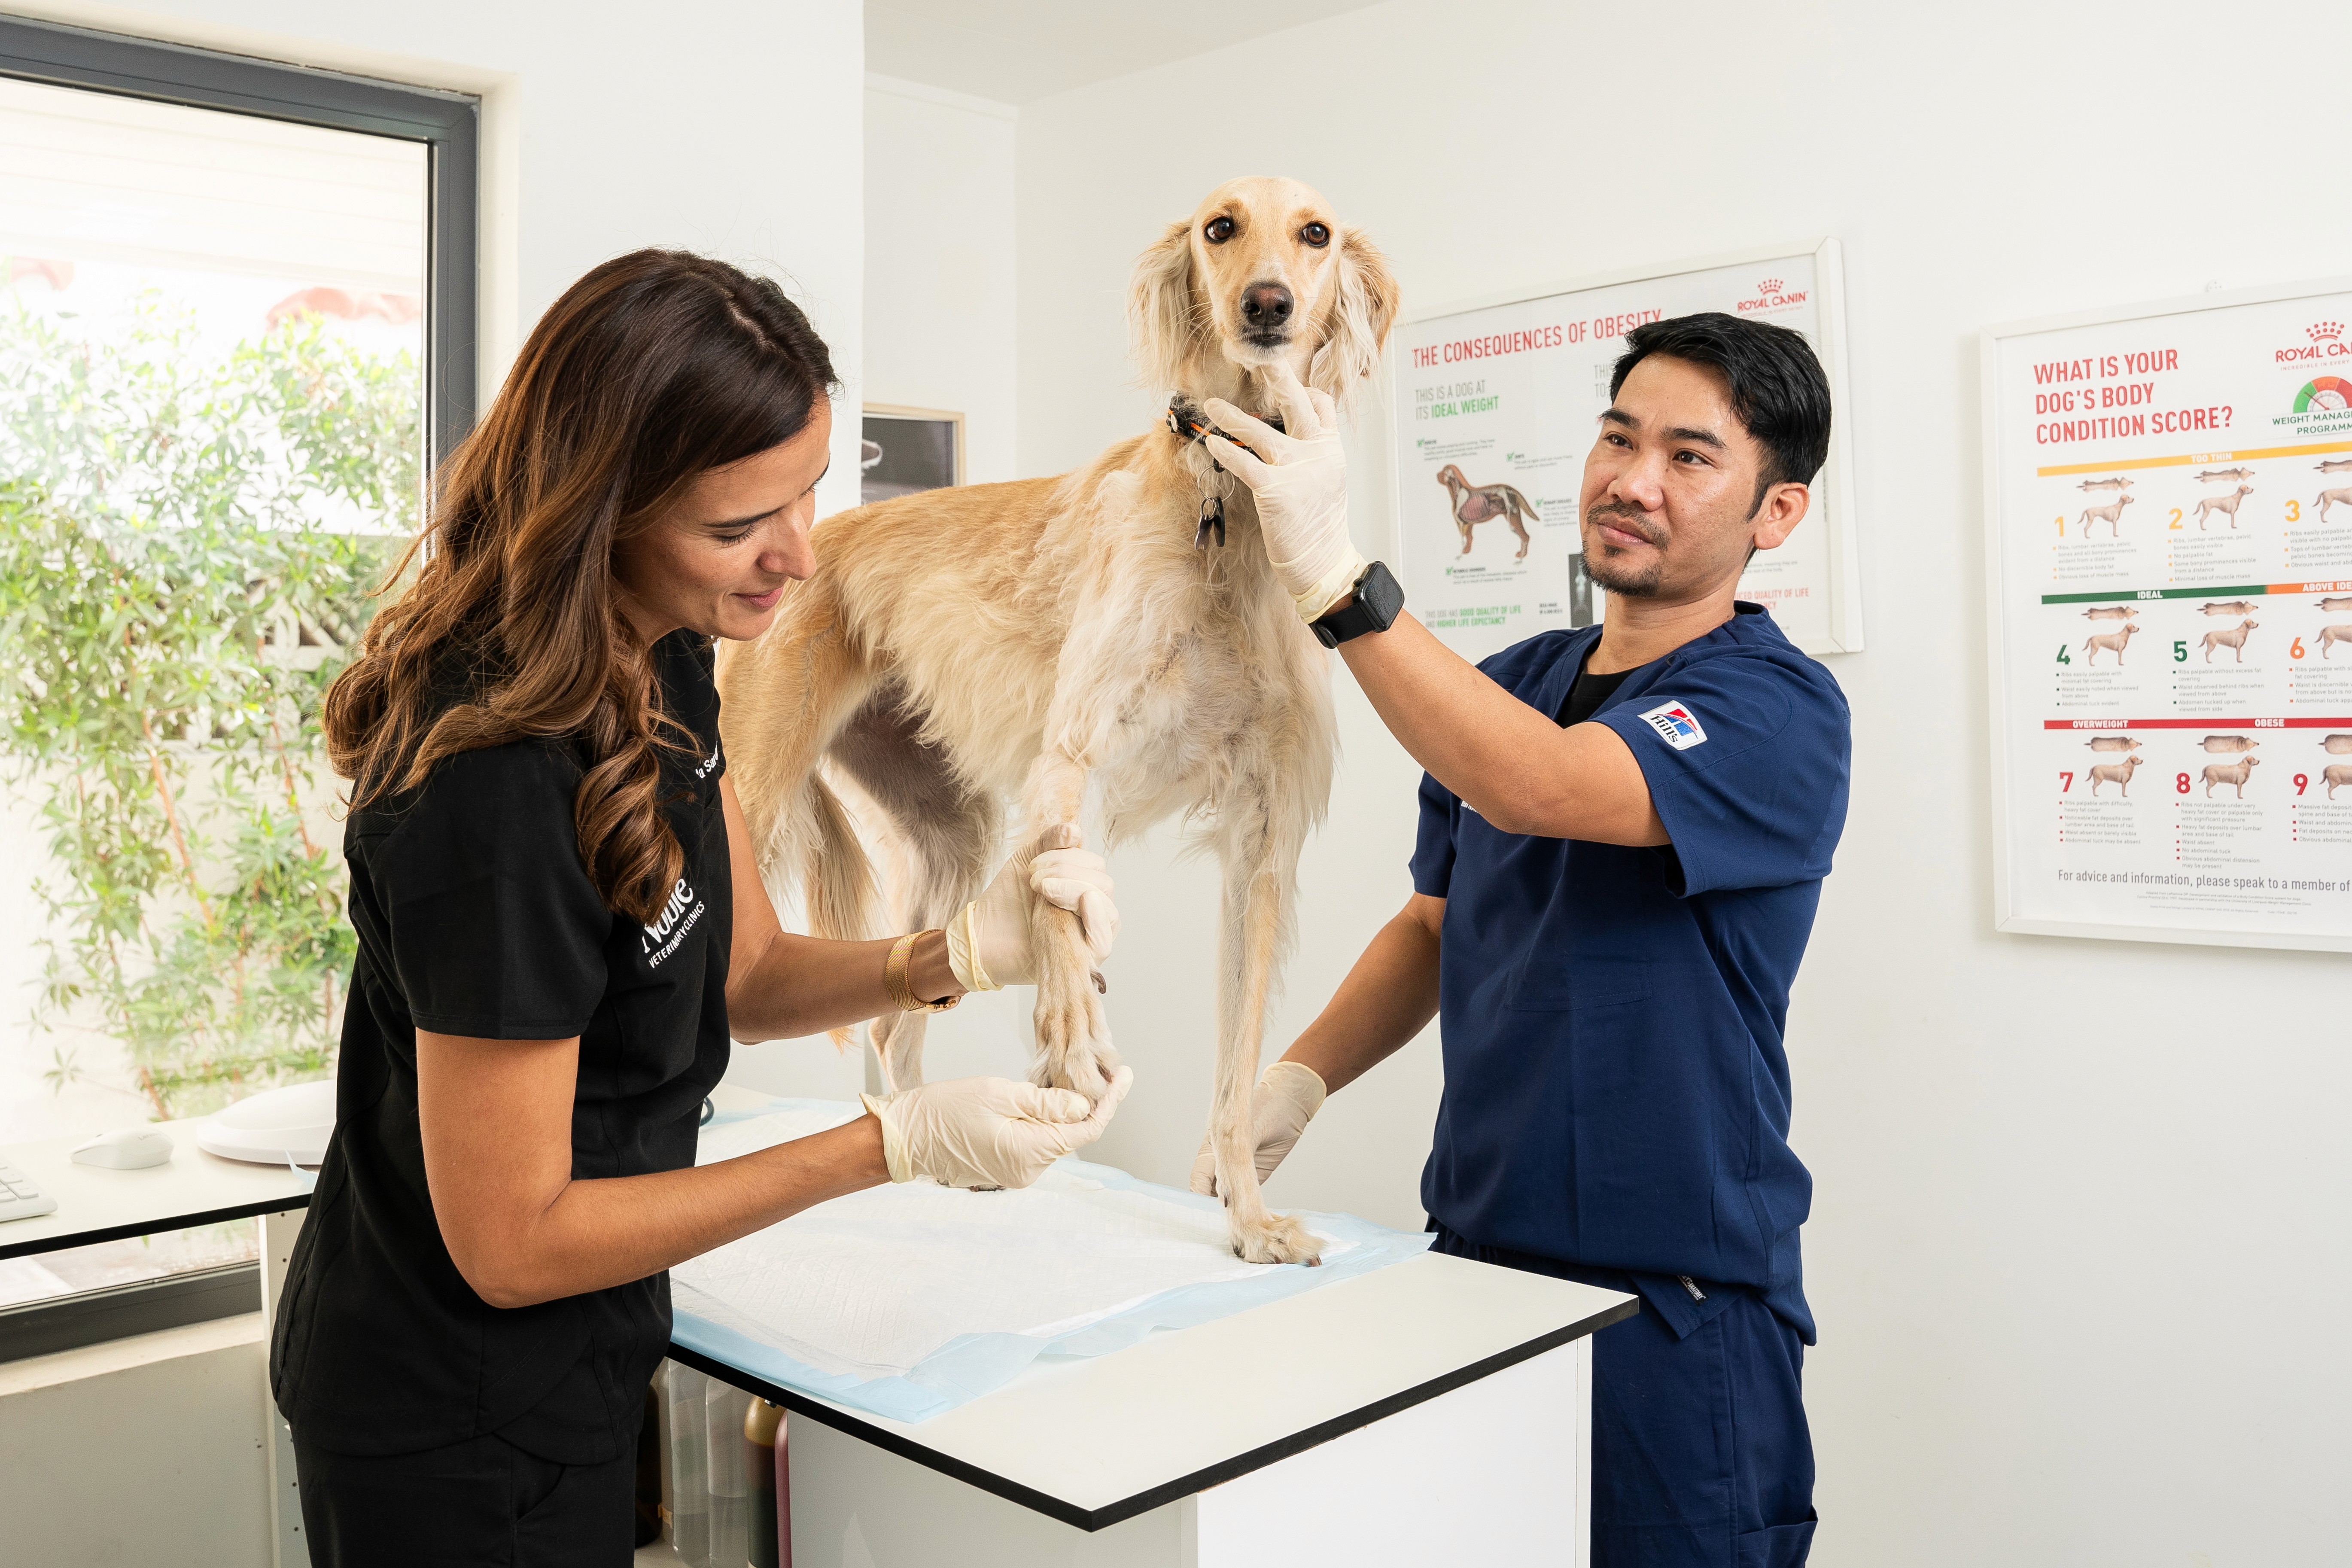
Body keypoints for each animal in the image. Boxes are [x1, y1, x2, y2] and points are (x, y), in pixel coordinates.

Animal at [706, 177, 1383, 1269]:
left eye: (1315, 233)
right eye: (1220, 228)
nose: (1267, 305)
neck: (1228, 505)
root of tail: (813, 536)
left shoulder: (1261, 845)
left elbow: (1237, 1070)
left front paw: (1247, 1214)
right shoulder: (1074, 760)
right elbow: (1061, 902)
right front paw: (1069, 1033)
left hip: (948, 828)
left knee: (895, 1027)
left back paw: (928, 1147)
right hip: (757, 792)